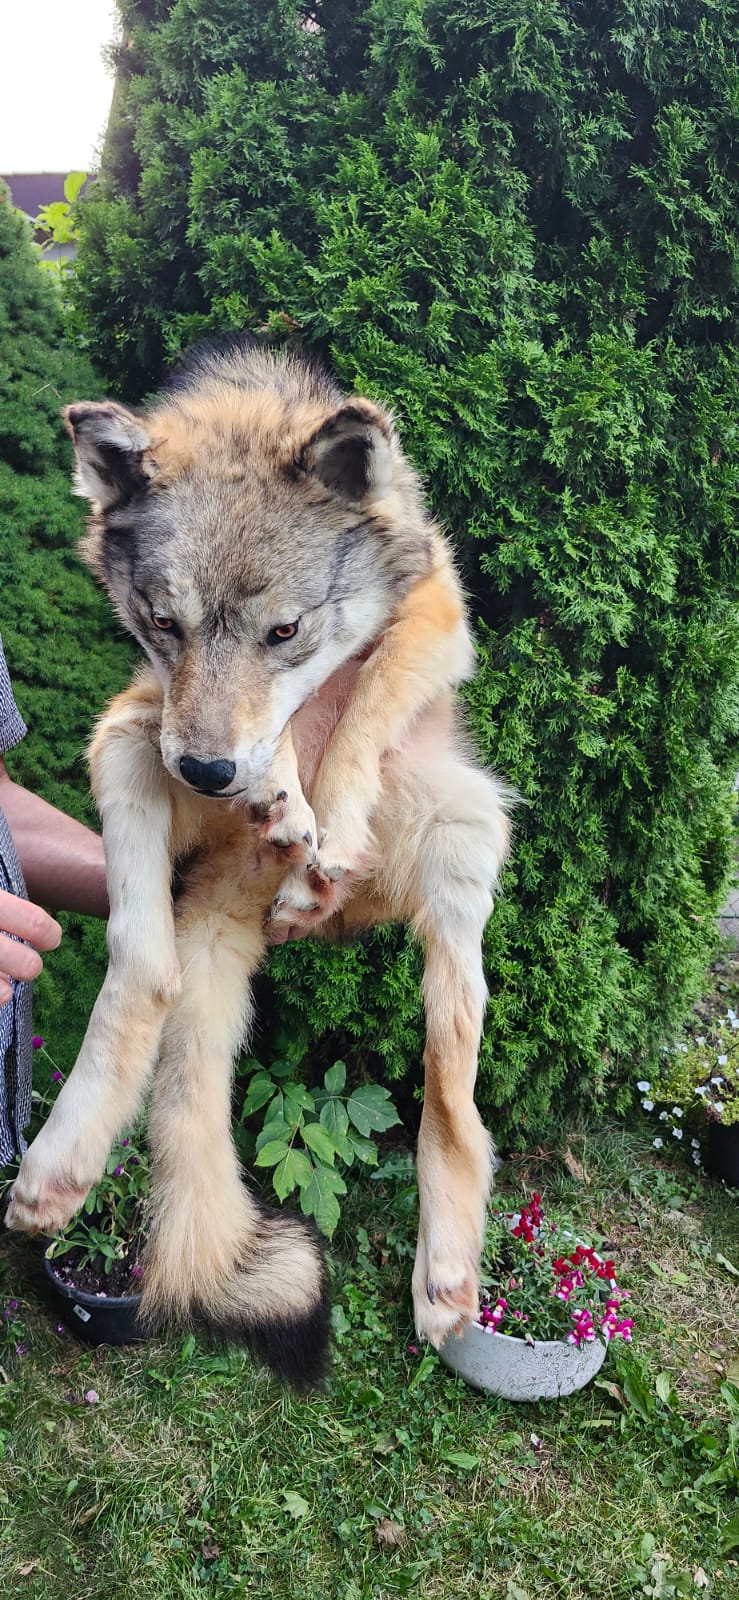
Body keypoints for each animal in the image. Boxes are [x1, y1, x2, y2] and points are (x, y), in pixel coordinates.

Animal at [6, 340, 512, 1387]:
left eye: (284, 630)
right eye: (164, 625)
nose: (207, 773)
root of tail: (232, 903)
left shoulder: (437, 616)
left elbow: (358, 704)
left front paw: (328, 819)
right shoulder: (153, 710)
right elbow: (281, 737)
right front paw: (284, 793)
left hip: (467, 833)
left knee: (451, 1086)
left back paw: (444, 1272)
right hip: (124, 746)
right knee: (144, 966)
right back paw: (59, 1163)